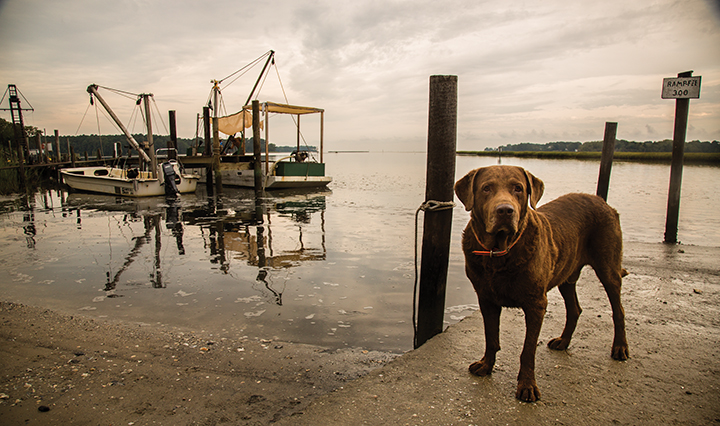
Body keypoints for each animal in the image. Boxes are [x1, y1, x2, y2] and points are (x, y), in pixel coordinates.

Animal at [456, 166, 632, 402]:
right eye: (486, 188)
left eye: (518, 188)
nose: (505, 211)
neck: (498, 252)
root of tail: (601, 201)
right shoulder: (486, 298)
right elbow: (491, 337)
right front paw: (486, 365)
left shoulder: (536, 304)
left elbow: (528, 349)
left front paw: (527, 386)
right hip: (566, 274)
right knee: (575, 309)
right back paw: (563, 341)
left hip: (608, 267)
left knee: (618, 309)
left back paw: (620, 347)